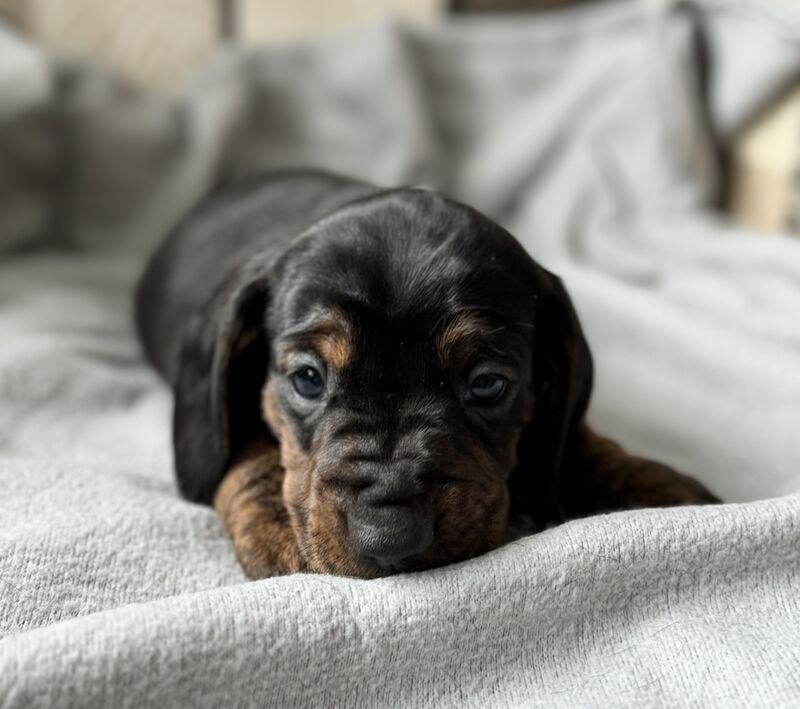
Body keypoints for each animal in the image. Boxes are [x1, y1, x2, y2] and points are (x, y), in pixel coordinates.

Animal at [134, 169, 716, 580]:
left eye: (487, 384)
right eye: (308, 379)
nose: (390, 541)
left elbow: (577, 434)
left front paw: (652, 484)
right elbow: (251, 447)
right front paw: (275, 518)